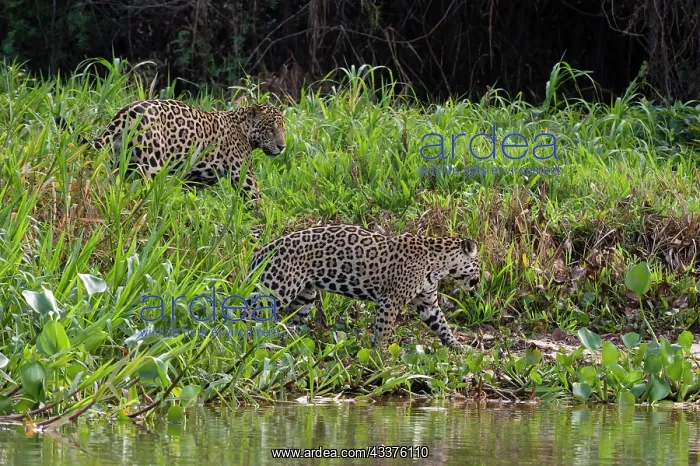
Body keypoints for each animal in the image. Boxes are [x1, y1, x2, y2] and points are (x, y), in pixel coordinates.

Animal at [93, 99, 286, 200]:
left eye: (283, 129)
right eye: (271, 129)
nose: (282, 147)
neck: (243, 128)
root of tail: (125, 112)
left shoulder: (192, 181)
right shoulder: (245, 178)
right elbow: (259, 203)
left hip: (119, 163)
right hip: (152, 166)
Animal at [249, 224, 486, 350]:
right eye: (479, 263)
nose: (479, 281)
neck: (440, 264)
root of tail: (262, 250)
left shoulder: (427, 302)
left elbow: (442, 325)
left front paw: (459, 346)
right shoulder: (390, 300)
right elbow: (384, 330)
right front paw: (381, 355)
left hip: (305, 295)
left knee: (292, 322)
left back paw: (293, 345)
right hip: (276, 290)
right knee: (251, 314)